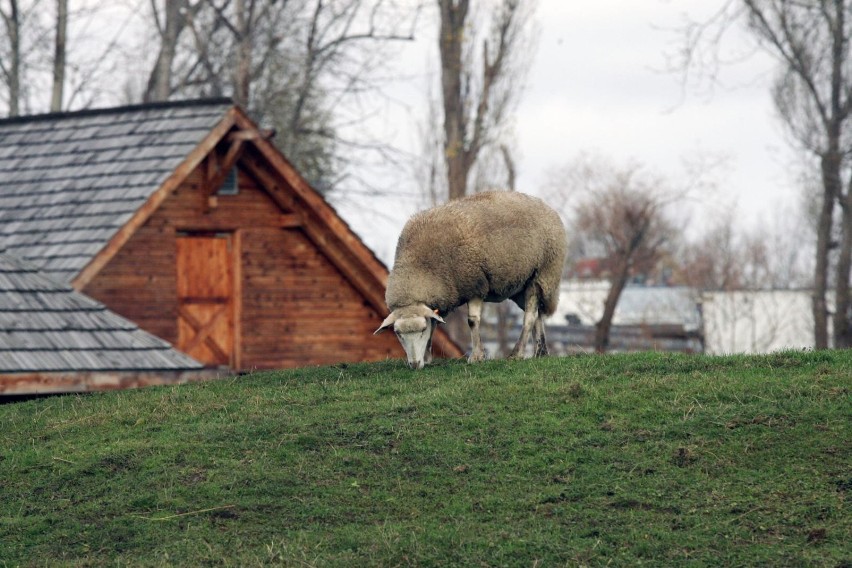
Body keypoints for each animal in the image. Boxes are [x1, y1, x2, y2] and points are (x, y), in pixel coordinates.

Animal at [378, 191, 564, 368]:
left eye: (422, 329)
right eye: (398, 334)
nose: (415, 364)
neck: (421, 266)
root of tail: (545, 206)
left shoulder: (475, 285)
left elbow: (472, 321)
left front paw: (476, 356)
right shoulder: (441, 297)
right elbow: (435, 323)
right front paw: (427, 357)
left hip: (541, 275)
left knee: (530, 317)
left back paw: (517, 353)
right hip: (521, 286)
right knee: (537, 313)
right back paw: (540, 351)